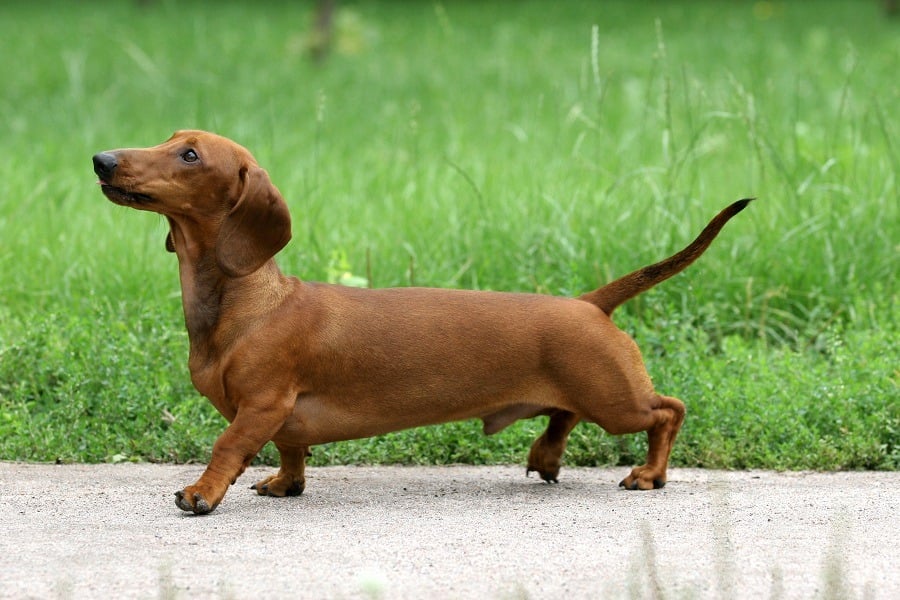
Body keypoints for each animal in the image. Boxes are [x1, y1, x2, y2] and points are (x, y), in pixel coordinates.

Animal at [91, 132, 752, 516]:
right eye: (170, 139)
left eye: (190, 154)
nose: (100, 158)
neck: (249, 302)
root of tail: (589, 303)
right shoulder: (282, 417)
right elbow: (291, 450)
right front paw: (285, 483)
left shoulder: (262, 402)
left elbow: (228, 446)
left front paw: (201, 493)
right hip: (591, 392)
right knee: (565, 416)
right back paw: (546, 456)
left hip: (615, 399)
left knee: (668, 410)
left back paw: (650, 474)